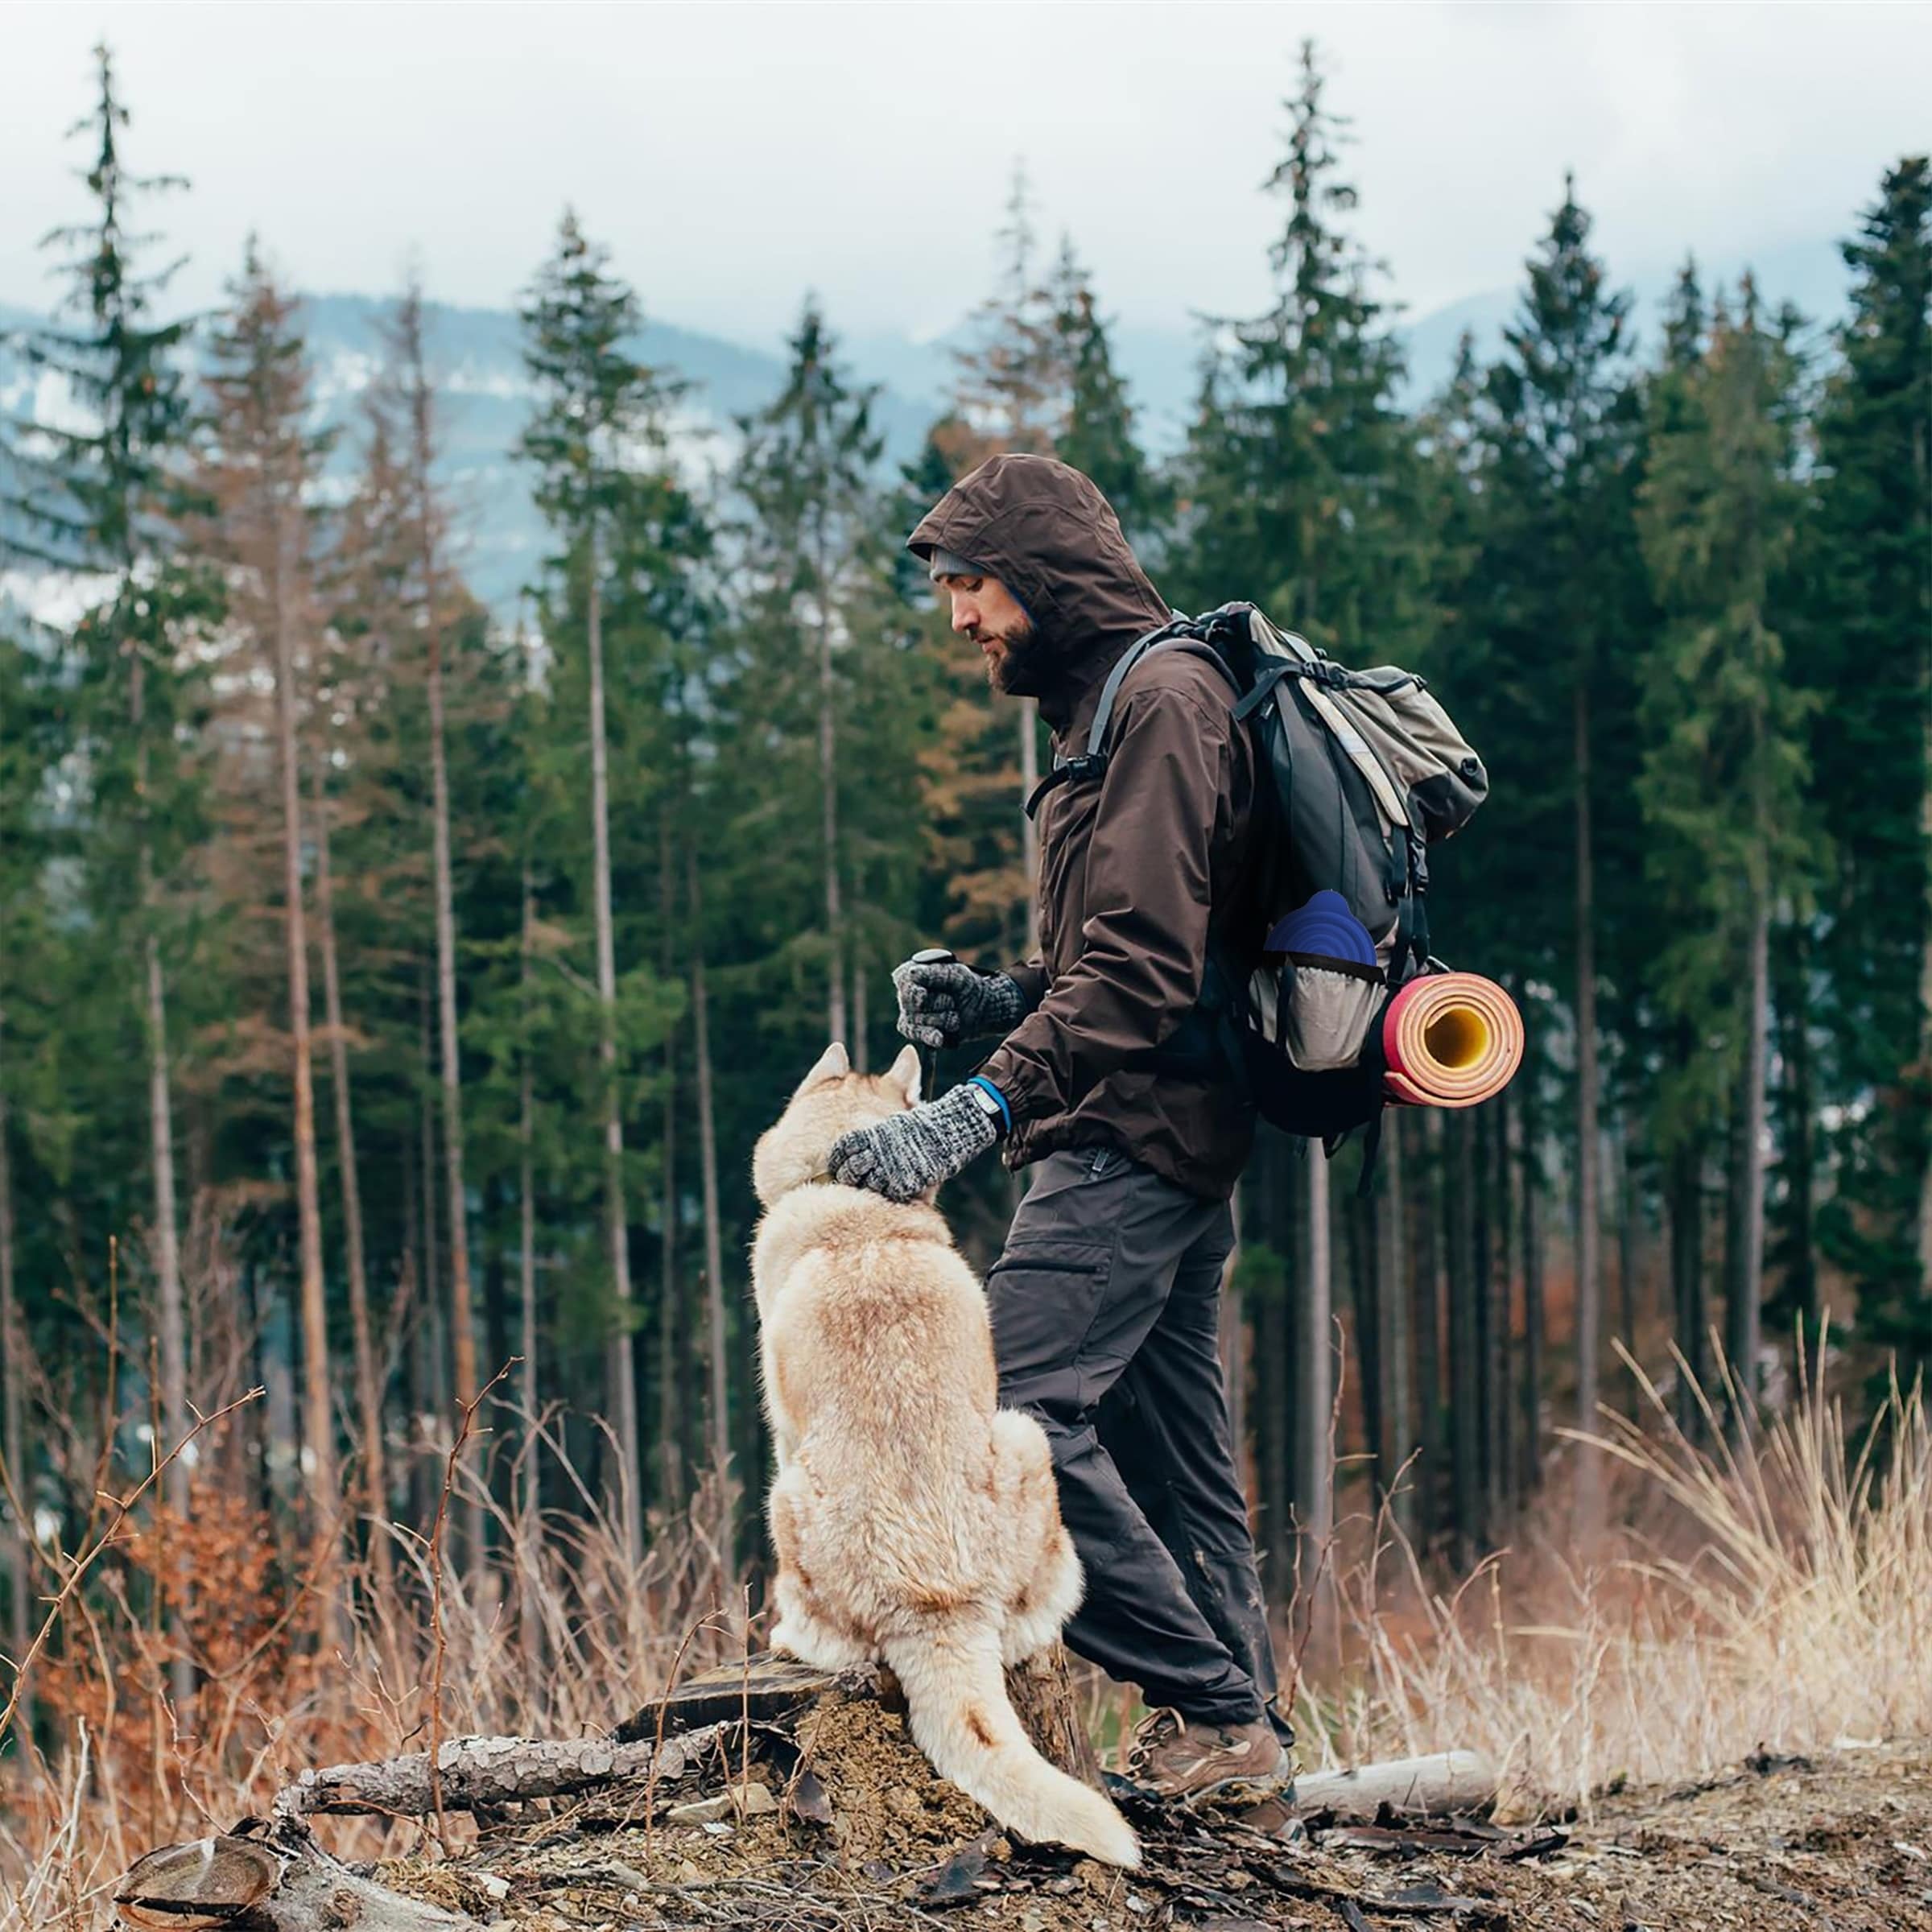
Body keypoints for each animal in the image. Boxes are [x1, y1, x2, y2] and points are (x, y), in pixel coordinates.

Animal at [745, 1043, 1136, 1870]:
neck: (850, 1201)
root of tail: (940, 1603)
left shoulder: (781, 1428)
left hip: (785, 1493)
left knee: (829, 1642)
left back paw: (787, 1637)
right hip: (1023, 1435)